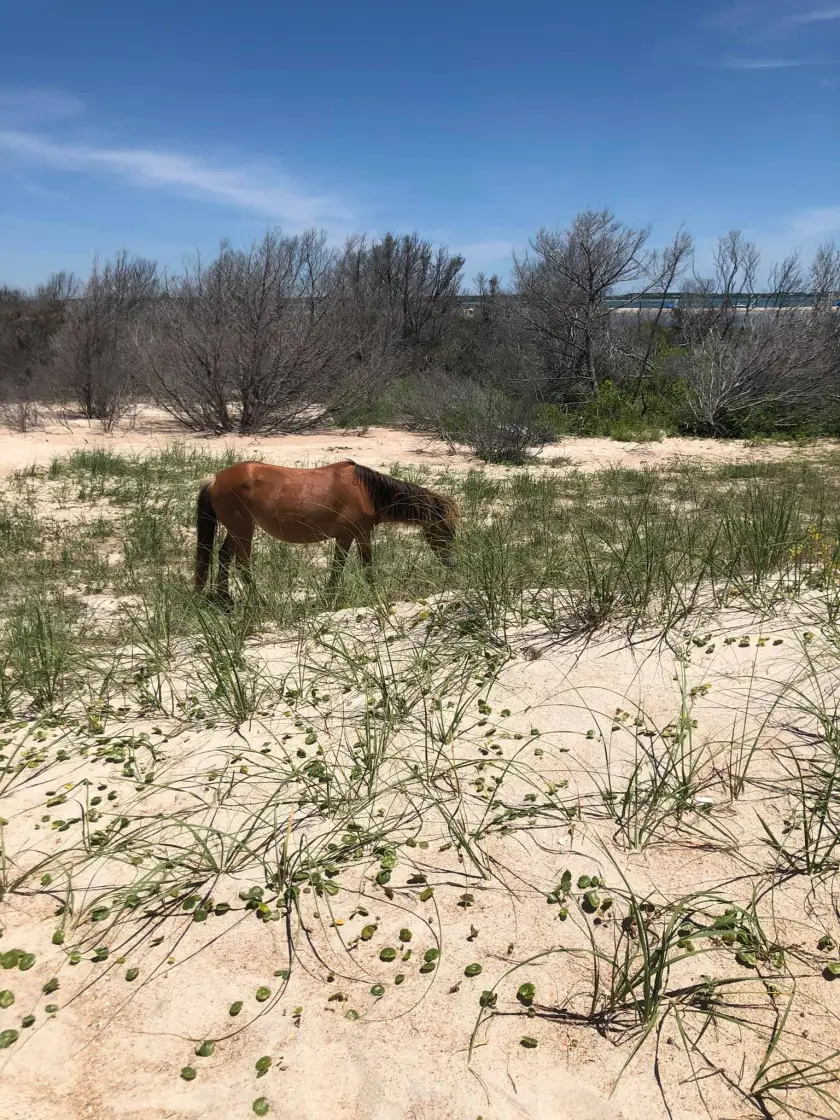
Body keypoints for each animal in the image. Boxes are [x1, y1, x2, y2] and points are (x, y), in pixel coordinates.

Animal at [194, 459, 458, 604]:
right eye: (447, 530)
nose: (452, 564)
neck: (365, 490)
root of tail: (216, 479)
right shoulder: (346, 535)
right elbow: (339, 566)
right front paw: (329, 597)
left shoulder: (361, 534)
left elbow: (367, 565)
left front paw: (373, 593)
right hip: (243, 528)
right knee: (242, 562)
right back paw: (257, 600)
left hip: (236, 528)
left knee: (225, 556)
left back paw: (225, 599)